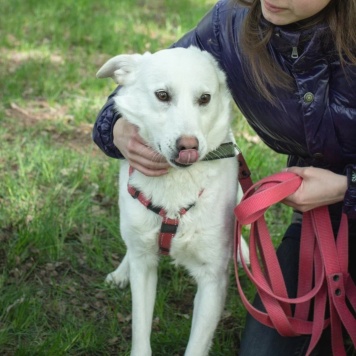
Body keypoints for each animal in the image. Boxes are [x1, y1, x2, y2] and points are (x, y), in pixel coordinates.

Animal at [96, 47, 249, 356]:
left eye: (205, 98)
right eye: (163, 95)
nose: (188, 146)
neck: (175, 185)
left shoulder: (212, 279)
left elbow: (196, 346)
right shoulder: (145, 269)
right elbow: (140, 331)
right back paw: (122, 271)